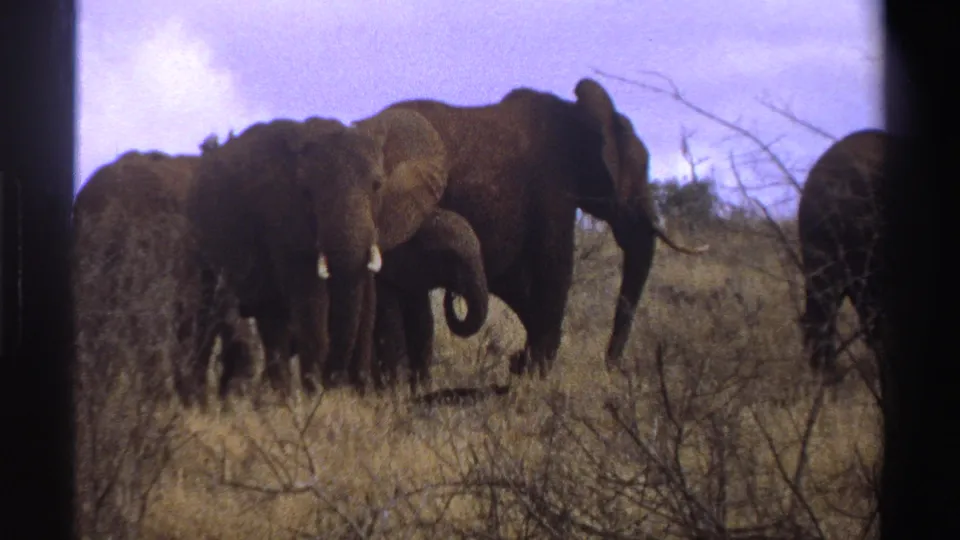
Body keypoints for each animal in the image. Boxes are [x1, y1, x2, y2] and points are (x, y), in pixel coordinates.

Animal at [382, 78, 710, 378]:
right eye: (640, 169)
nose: (612, 368)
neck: (577, 114)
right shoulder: (552, 189)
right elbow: (555, 270)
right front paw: (534, 375)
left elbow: (515, 284)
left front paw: (520, 365)